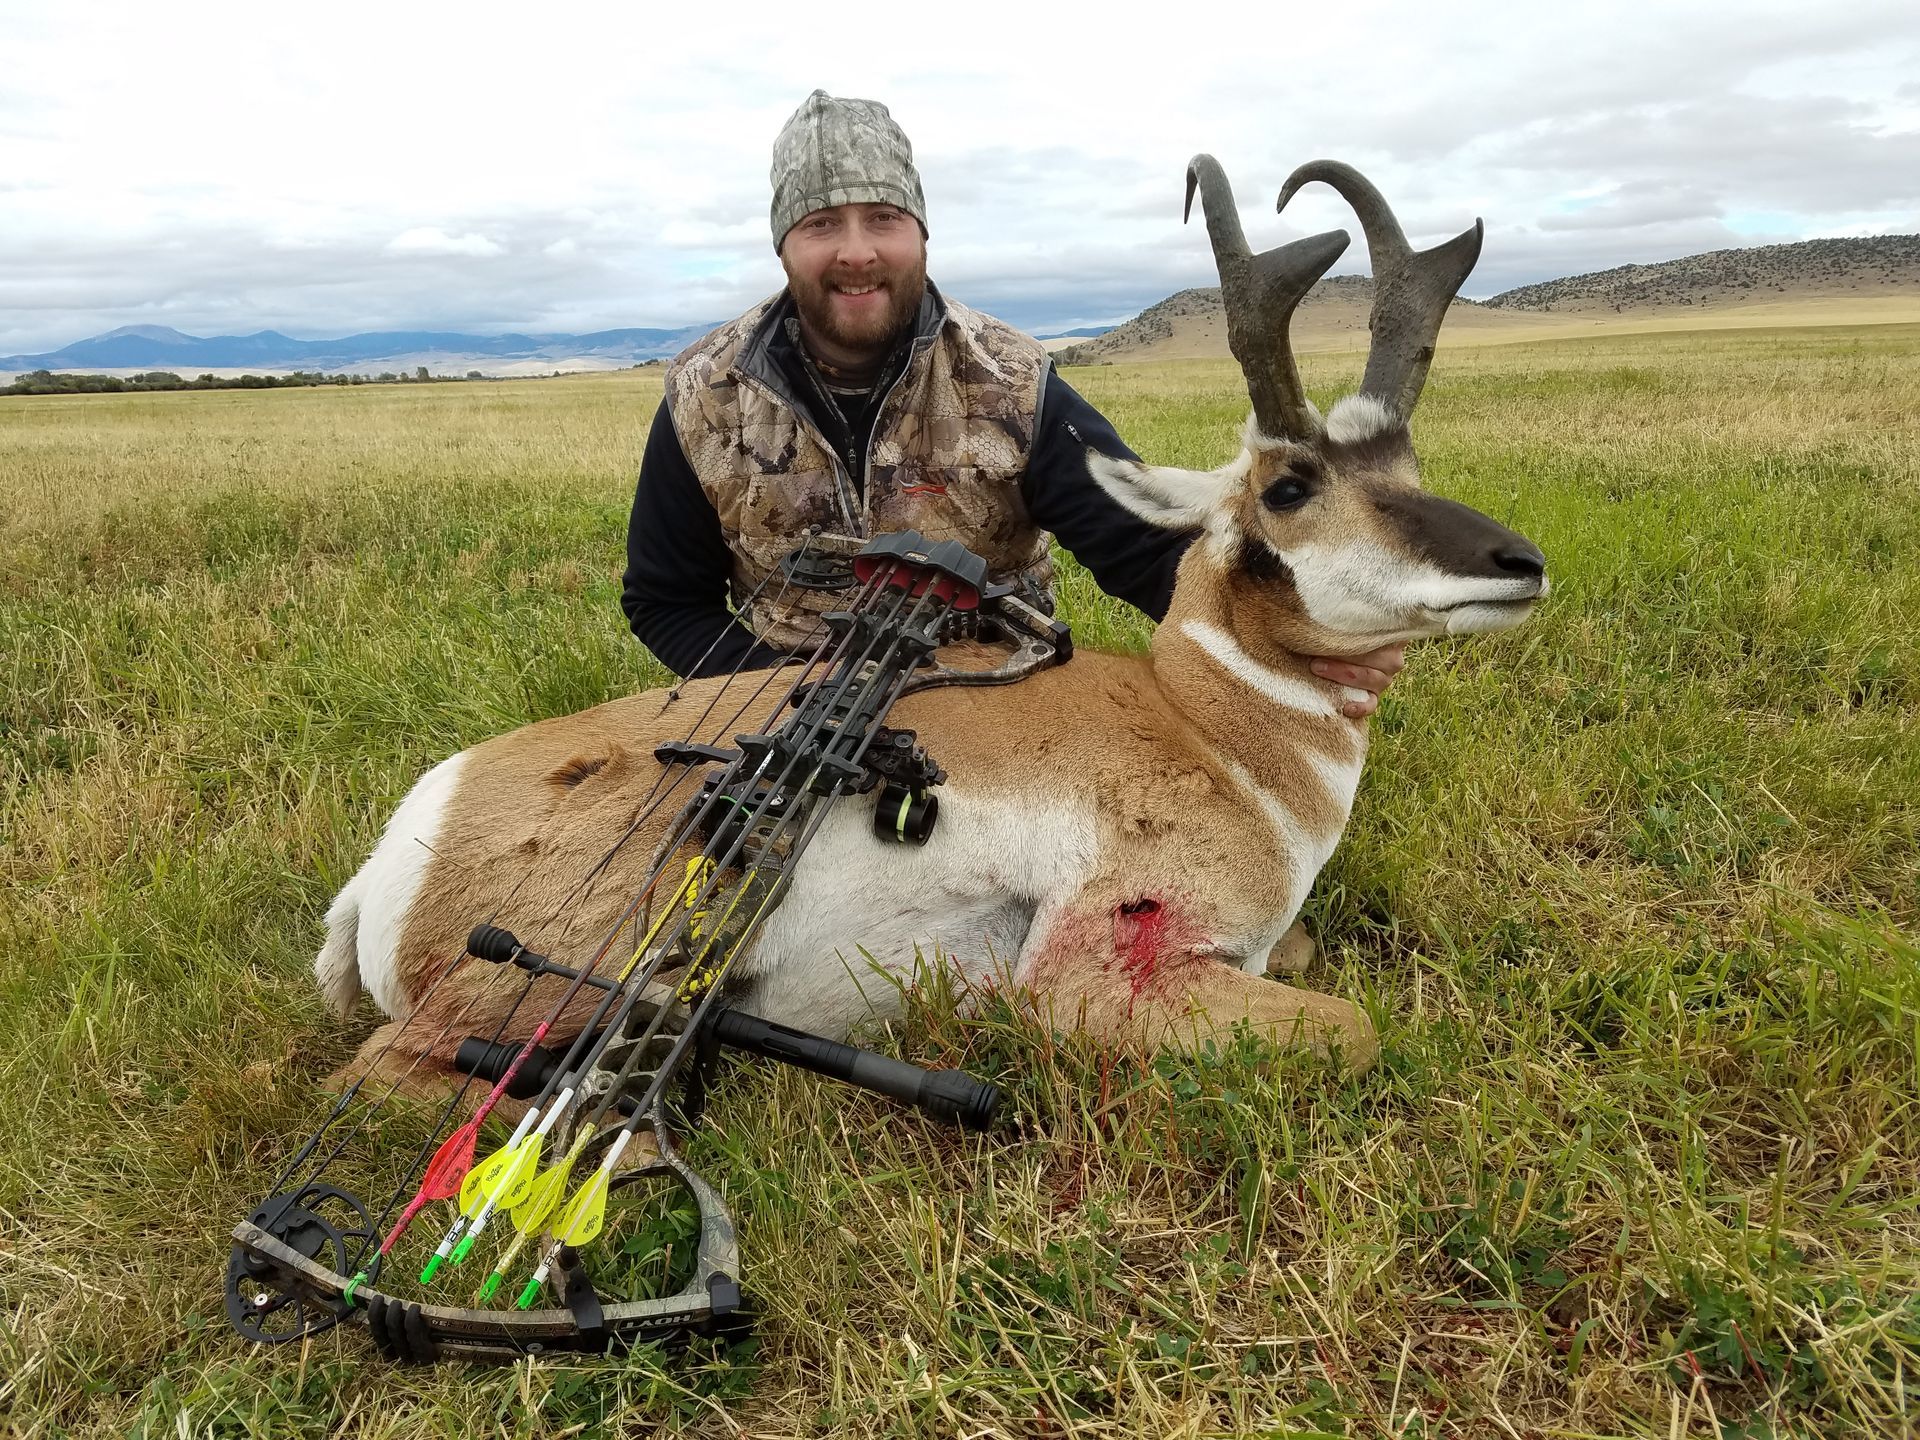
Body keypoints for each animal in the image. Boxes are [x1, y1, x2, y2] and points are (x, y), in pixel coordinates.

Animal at [317, 158, 1547, 1084]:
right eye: (1291, 486)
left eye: (1407, 465)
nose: (1522, 563)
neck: (1207, 727)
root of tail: (401, 850)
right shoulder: (1090, 975)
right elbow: (1357, 1027)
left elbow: (1302, 947)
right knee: (386, 1071)